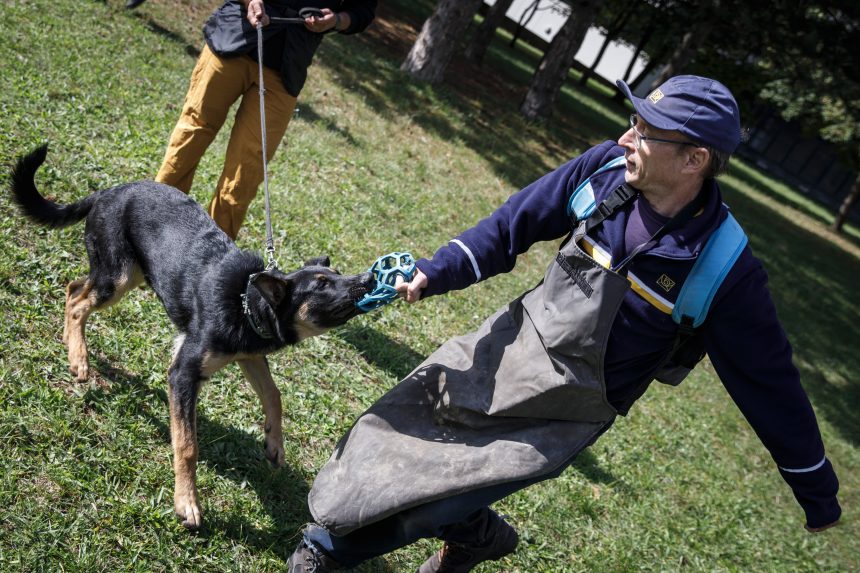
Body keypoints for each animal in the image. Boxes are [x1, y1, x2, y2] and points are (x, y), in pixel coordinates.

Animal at [7, 145, 376, 528]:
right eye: (322, 285)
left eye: (337, 272)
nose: (370, 278)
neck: (246, 300)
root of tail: (108, 191)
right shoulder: (184, 372)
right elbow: (187, 444)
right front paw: (187, 502)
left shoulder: (248, 355)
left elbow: (274, 395)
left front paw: (274, 444)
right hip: (117, 277)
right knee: (79, 303)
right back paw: (79, 358)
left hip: (128, 274)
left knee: (72, 288)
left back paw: (71, 344)